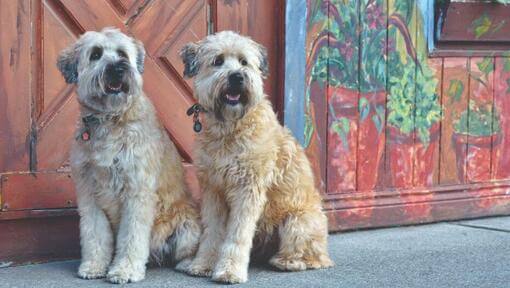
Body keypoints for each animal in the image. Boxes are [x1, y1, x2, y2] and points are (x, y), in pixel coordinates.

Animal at [55, 27, 199, 284]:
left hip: (187, 227)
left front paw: (125, 270)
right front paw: (94, 266)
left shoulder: (137, 192)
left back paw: (188, 264)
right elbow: (94, 234)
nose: (118, 68)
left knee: (186, 251)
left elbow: (132, 236)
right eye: (95, 54)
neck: (110, 120)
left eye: (122, 53)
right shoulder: (89, 194)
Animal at [179, 31, 334, 284]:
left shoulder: (248, 190)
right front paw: (203, 264)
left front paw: (230, 270)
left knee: (313, 258)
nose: (237, 77)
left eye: (244, 62)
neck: (230, 129)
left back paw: (286, 262)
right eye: (218, 61)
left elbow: (237, 235)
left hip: (297, 222)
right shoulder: (213, 190)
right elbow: (212, 233)